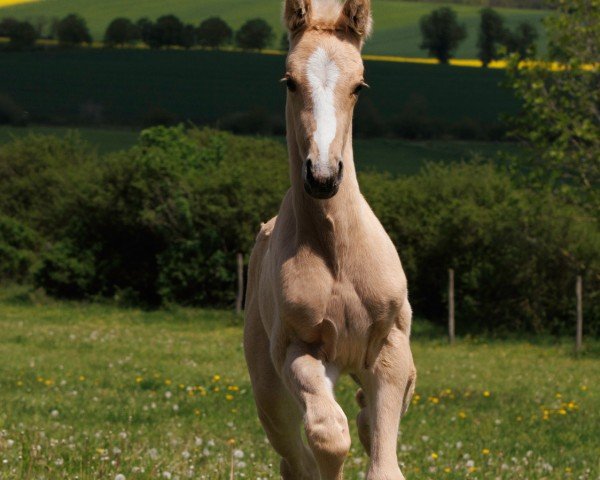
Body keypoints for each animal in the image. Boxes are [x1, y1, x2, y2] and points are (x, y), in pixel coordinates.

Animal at [244, 1, 418, 478]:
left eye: (359, 86)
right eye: (289, 81)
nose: (322, 177)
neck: (338, 252)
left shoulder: (390, 347)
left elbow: (383, 458)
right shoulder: (300, 350)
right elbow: (327, 433)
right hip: (271, 396)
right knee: (294, 456)